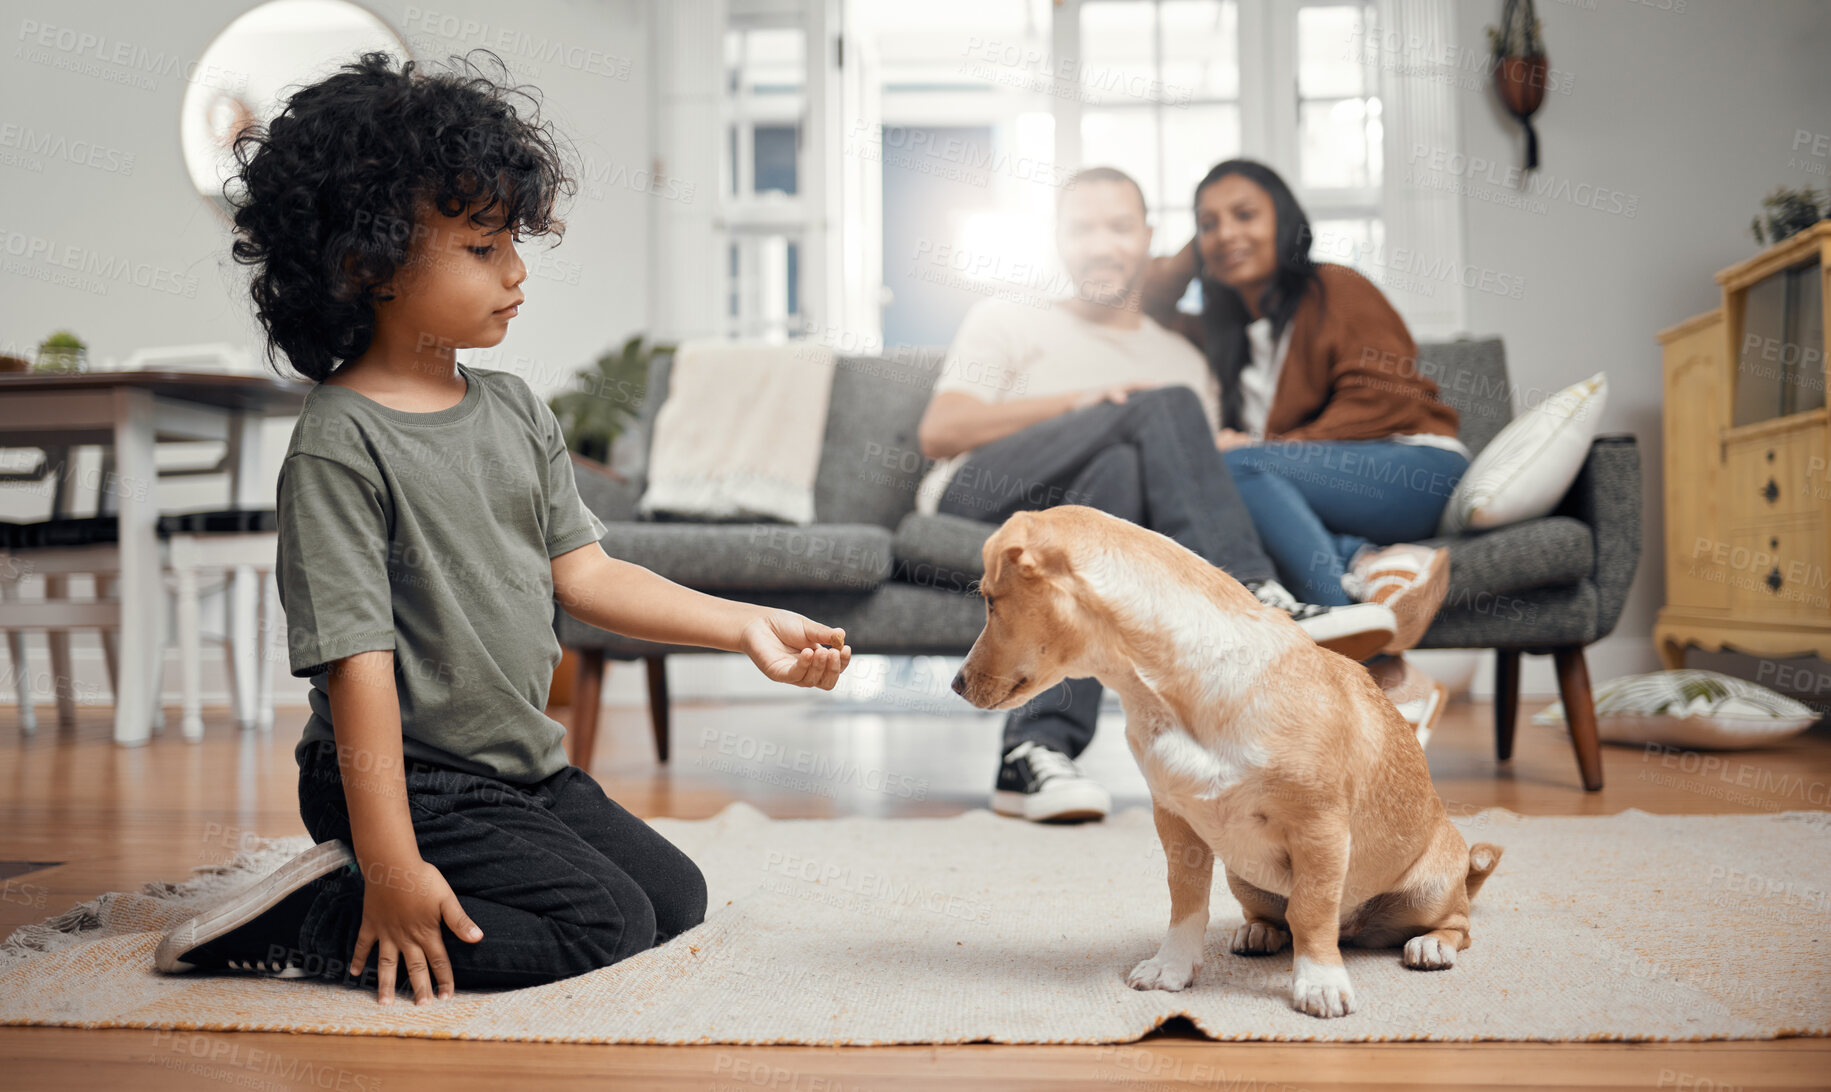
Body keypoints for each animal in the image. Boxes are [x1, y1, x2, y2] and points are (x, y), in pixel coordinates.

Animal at [952, 509, 1494, 1018]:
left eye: (990, 601)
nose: (955, 684)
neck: (1166, 694)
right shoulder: (1176, 823)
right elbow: (1187, 900)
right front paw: (1172, 968)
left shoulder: (1319, 830)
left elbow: (1312, 910)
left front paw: (1319, 982)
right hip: (1243, 877)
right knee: (1274, 917)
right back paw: (1258, 933)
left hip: (1430, 890)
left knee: (1458, 924)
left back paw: (1430, 945)